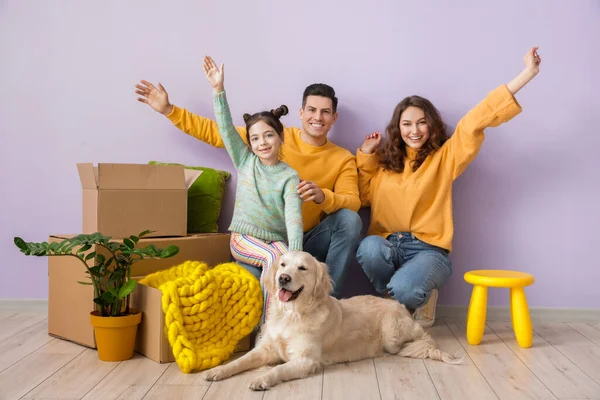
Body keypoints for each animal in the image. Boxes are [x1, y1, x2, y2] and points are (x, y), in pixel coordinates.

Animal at [204, 252, 462, 390]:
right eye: (283, 264)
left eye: (303, 268)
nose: (283, 278)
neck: (293, 314)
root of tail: (399, 306)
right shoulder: (266, 349)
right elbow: (241, 361)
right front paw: (218, 371)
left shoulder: (306, 361)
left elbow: (279, 370)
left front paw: (262, 379)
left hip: (393, 334)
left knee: (423, 338)